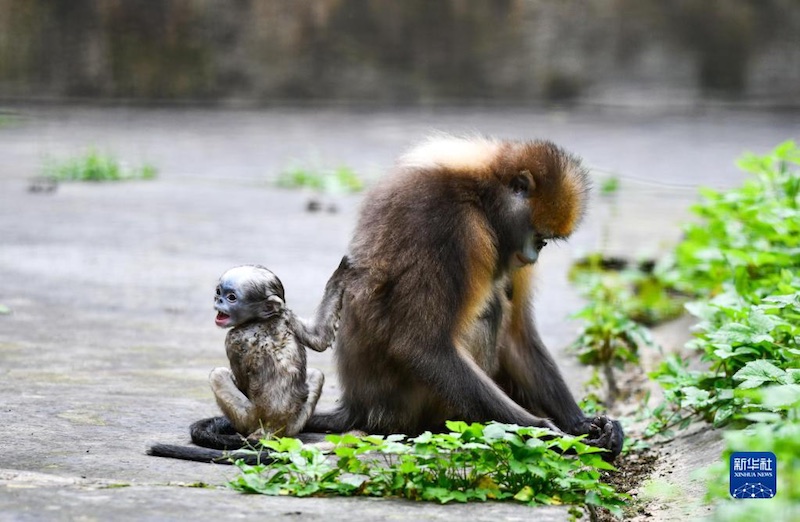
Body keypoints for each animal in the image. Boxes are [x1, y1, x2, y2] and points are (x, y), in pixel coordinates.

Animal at [194, 135, 624, 460]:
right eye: (539, 237)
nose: (535, 253)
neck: (479, 194)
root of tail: (361, 405)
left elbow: (518, 339)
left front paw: (583, 424)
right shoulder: (451, 225)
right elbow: (420, 345)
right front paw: (546, 433)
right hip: (412, 402)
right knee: (488, 309)